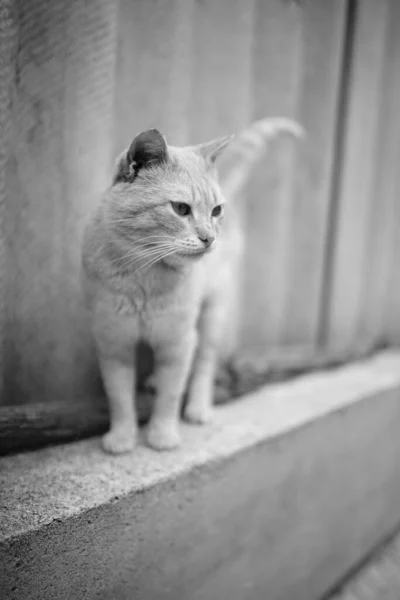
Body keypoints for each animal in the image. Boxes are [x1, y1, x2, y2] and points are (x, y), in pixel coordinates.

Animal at [81, 117, 302, 454]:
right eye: (181, 209)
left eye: (215, 211)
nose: (209, 238)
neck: (145, 277)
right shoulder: (113, 342)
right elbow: (119, 397)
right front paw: (122, 437)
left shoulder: (179, 341)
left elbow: (171, 395)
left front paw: (162, 435)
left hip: (212, 317)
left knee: (204, 365)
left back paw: (198, 408)